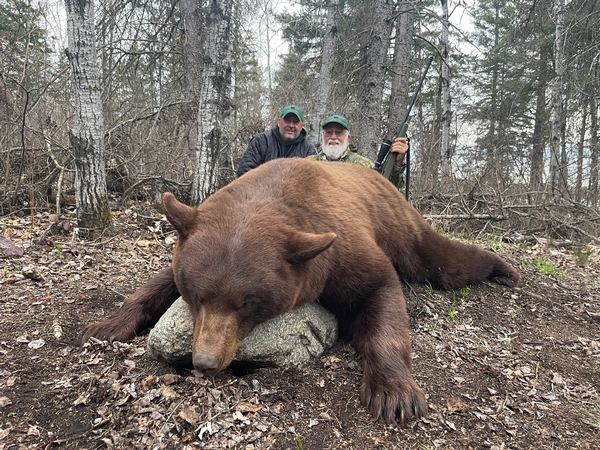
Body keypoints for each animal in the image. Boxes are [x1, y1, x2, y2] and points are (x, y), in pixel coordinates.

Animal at [79, 159, 520, 426]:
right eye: (197, 296)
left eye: (247, 303)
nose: (205, 361)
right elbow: (158, 282)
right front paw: (107, 326)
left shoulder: (340, 248)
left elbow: (381, 293)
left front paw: (394, 393)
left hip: (400, 224)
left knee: (441, 261)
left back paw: (504, 269)